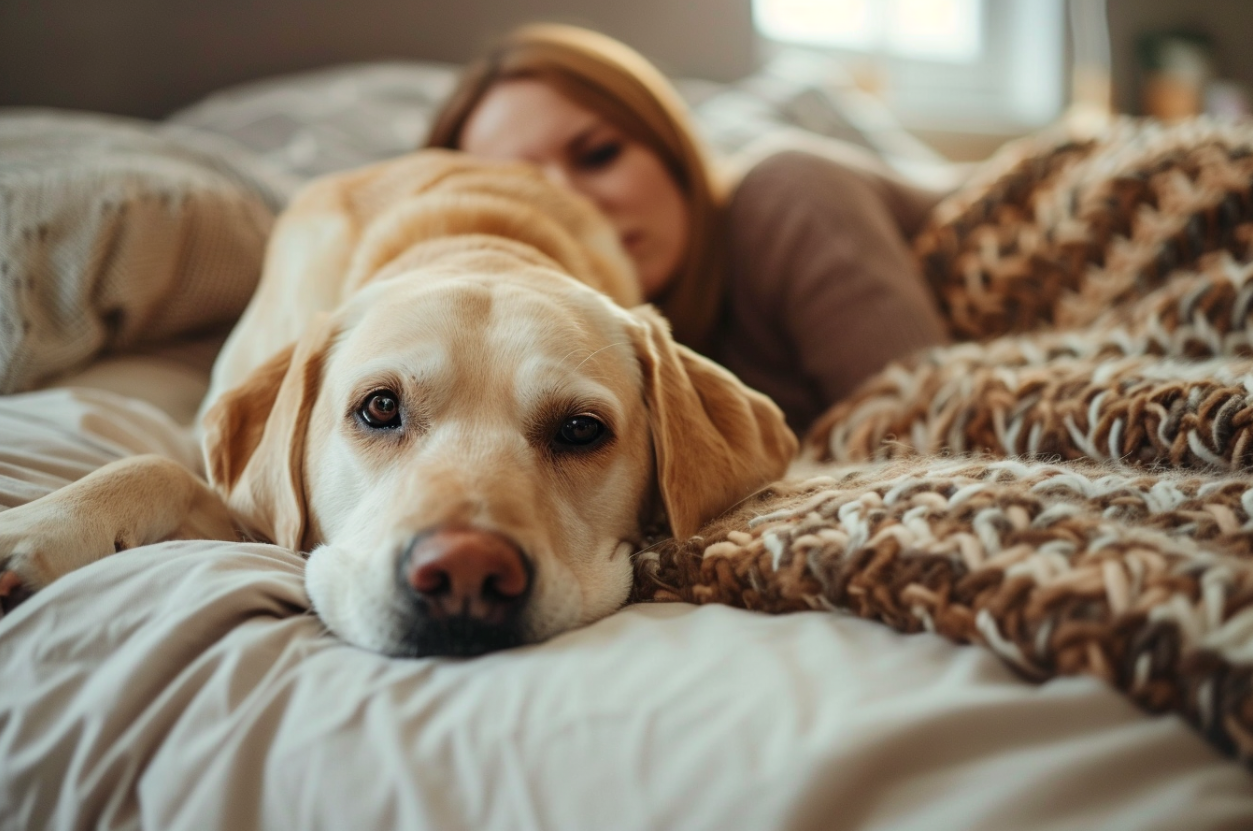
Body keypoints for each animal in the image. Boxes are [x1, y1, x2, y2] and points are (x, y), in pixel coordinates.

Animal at [0, 149, 796, 656]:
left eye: (580, 429)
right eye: (379, 408)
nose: (467, 576)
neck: (477, 239)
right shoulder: (242, 486)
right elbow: (155, 465)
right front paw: (47, 524)